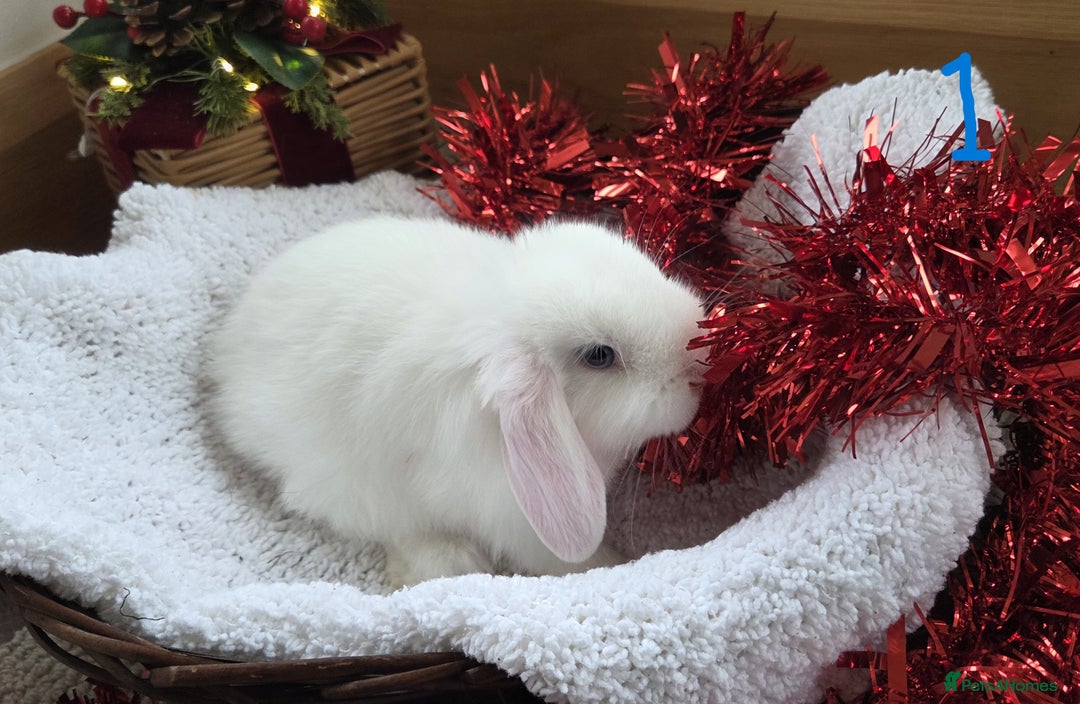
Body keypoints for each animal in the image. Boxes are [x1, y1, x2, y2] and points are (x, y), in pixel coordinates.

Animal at [207, 215, 707, 587]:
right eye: (600, 356)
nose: (697, 359)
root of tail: (226, 354)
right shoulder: (512, 513)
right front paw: (610, 564)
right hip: (347, 484)